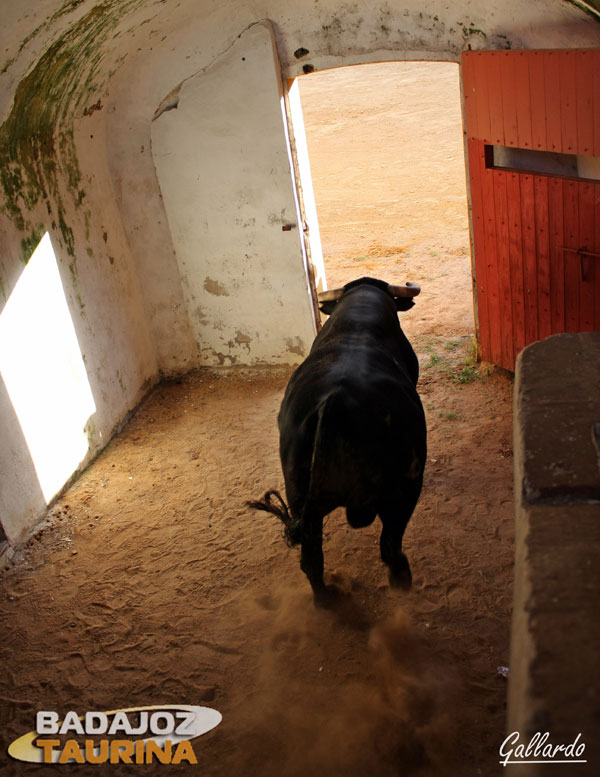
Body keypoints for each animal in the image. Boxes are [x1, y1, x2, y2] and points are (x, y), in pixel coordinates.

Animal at [248, 276, 426, 604]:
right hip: (406, 486)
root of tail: (336, 402)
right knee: (390, 546)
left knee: (311, 559)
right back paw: (402, 584)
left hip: (301, 500)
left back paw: (325, 600)